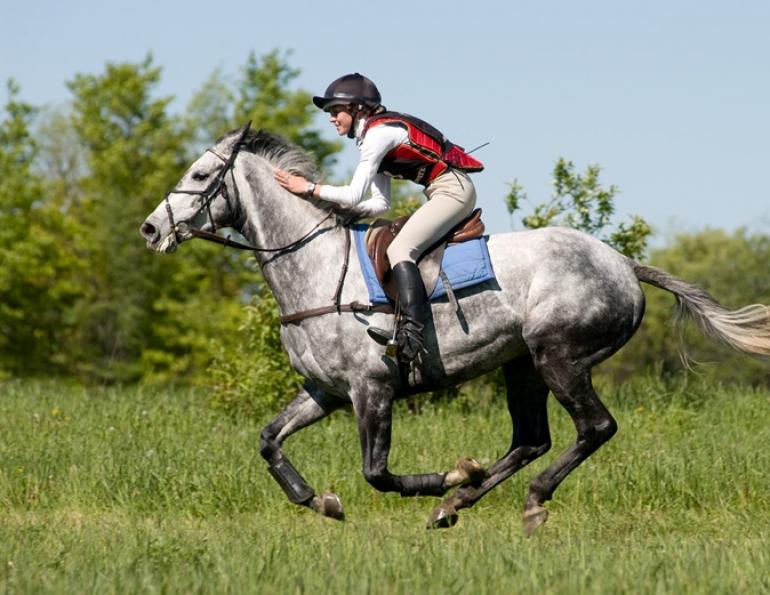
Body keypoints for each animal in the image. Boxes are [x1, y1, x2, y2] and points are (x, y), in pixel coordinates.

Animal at [141, 123, 770, 534]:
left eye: (200, 173)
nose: (150, 229)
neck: (316, 268)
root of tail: (624, 264)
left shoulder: (372, 389)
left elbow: (376, 473)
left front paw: (445, 475)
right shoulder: (324, 391)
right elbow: (269, 439)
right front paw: (317, 500)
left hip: (558, 357)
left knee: (594, 428)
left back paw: (517, 500)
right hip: (522, 364)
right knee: (531, 439)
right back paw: (457, 504)